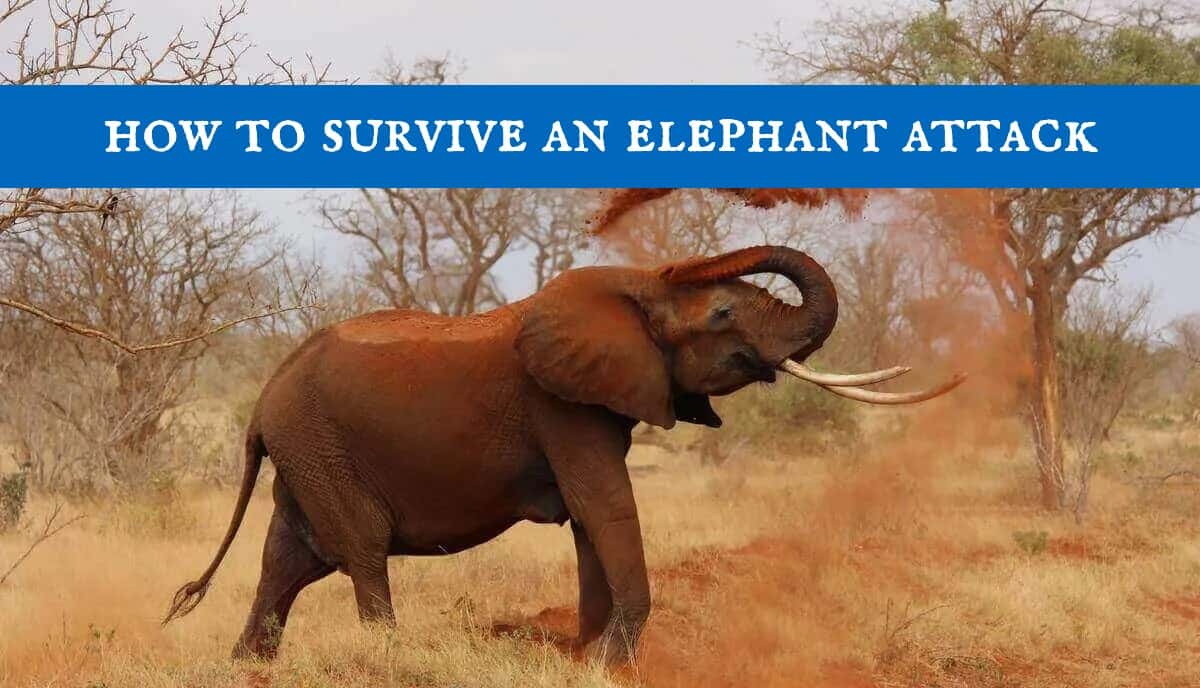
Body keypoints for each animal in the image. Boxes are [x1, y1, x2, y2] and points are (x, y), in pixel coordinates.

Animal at [163, 245, 962, 664]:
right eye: (724, 313)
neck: (635, 287)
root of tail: (262, 401)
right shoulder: (562, 406)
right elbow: (603, 505)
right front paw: (610, 662)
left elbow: (589, 519)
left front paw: (585, 656)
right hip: (320, 446)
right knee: (358, 551)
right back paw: (387, 659)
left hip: (307, 452)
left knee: (289, 559)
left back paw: (248, 668)